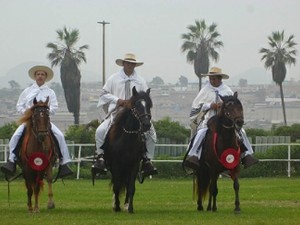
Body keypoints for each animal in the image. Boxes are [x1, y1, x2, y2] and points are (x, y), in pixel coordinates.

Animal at [102, 85, 154, 213]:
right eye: (136, 105)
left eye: (148, 105)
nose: (146, 125)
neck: (127, 138)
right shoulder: (115, 164)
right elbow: (116, 185)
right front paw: (116, 206)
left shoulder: (134, 164)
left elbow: (130, 187)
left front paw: (130, 208)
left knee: (125, 182)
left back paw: (125, 204)